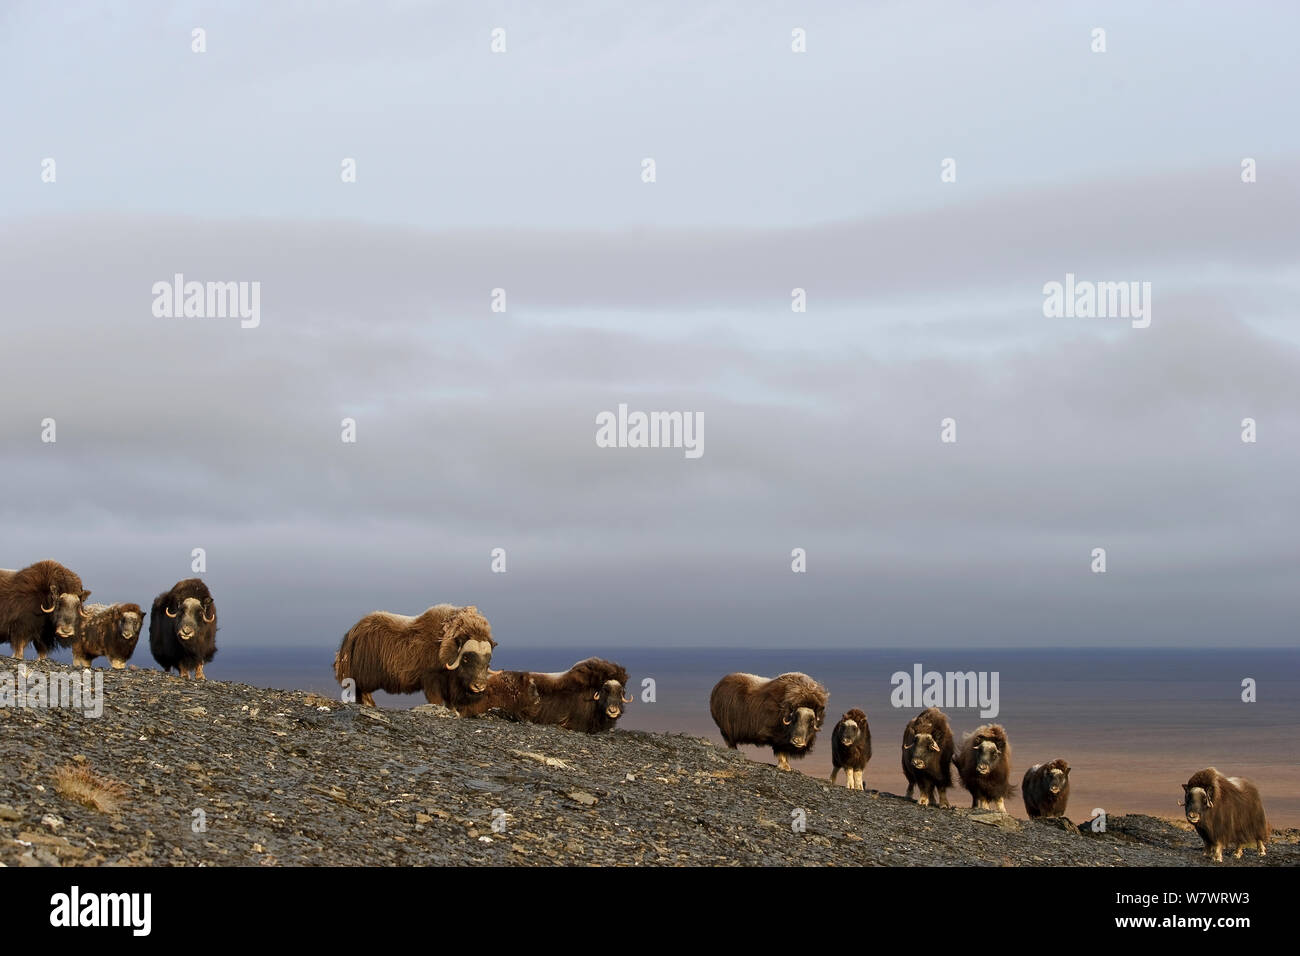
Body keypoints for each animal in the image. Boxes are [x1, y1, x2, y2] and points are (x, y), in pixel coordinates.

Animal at [332, 606, 493, 712]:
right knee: (362, 691)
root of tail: (352, 632)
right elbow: (436, 699)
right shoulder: (431, 679)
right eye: (466, 658)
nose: (479, 686)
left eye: (488, 659)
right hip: (364, 676)